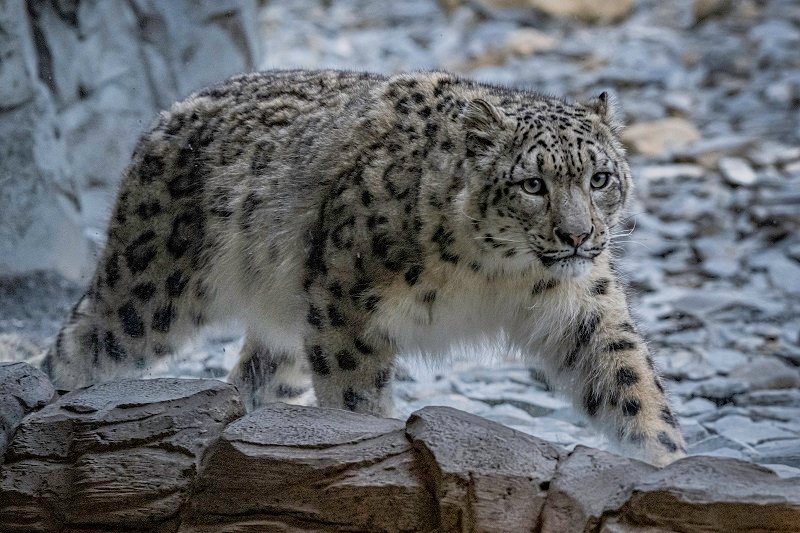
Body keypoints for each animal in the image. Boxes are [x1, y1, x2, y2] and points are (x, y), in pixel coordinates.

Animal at [40, 69, 684, 466]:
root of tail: (166, 114)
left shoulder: (585, 308)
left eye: (599, 177)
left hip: (285, 329)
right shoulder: (348, 306)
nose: (578, 235)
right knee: (84, 342)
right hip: (152, 290)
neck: (499, 274)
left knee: (253, 377)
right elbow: (355, 402)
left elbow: (629, 384)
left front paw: (665, 461)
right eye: (532, 184)